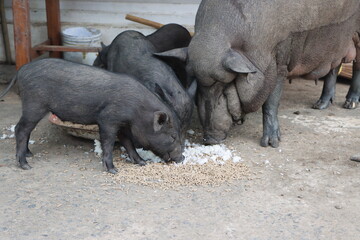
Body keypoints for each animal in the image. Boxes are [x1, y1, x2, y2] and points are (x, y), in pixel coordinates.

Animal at [13, 59, 183, 173]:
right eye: (173, 136)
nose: (181, 158)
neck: (137, 110)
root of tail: (21, 71)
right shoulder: (108, 119)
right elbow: (108, 142)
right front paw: (113, 170)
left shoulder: (123, 125)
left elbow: (128, 142)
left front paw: (142, 162)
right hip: (34, 105)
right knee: (20, 129)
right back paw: (26, 165)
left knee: (26, 130)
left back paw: (29, 153)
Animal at [160, 0, 360, 147]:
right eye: (199, 87)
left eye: (224, 87)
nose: (209, 139)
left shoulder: (279, 60)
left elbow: (271, 103)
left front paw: (271, 144)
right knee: (334, 67)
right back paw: (319, 106)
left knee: (356, 65)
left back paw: (349, 104)